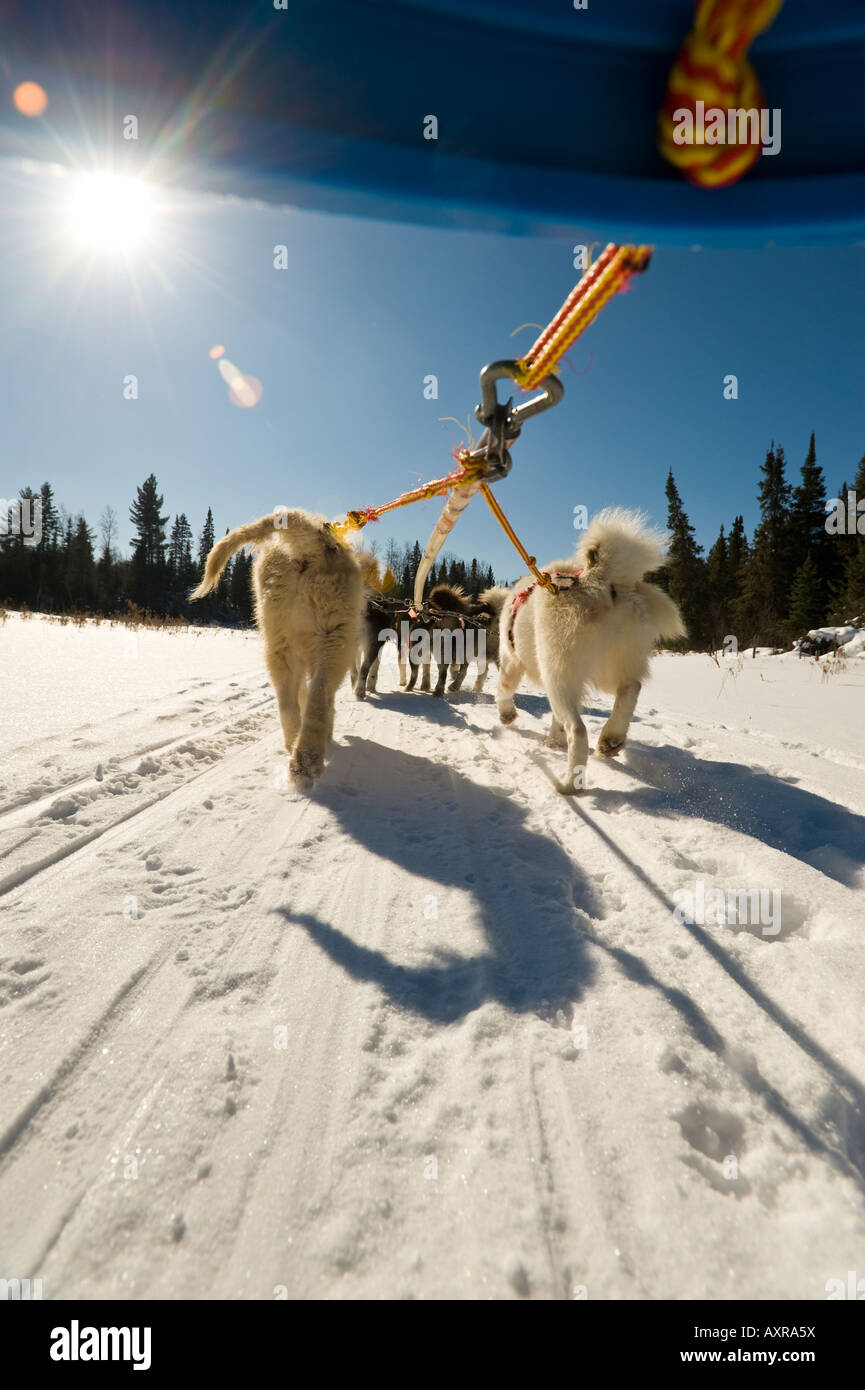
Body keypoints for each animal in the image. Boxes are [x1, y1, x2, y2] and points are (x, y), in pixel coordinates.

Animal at [189, 511, 367, 795]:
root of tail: (311, 543)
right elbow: (325, 703)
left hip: (277, 642)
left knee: (289, 702)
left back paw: (296, 753)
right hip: (334, 638)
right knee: (318, 698)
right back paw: (308, 761)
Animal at [497, 511, 686, 795]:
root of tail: (599, 579)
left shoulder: (511, 660)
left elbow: (504, 689)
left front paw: (507, 715)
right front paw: (552, 743)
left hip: (559, 673)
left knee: (578, 729)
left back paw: (568, 784)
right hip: (616, 662)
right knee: (631, 689)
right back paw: (611, 739)